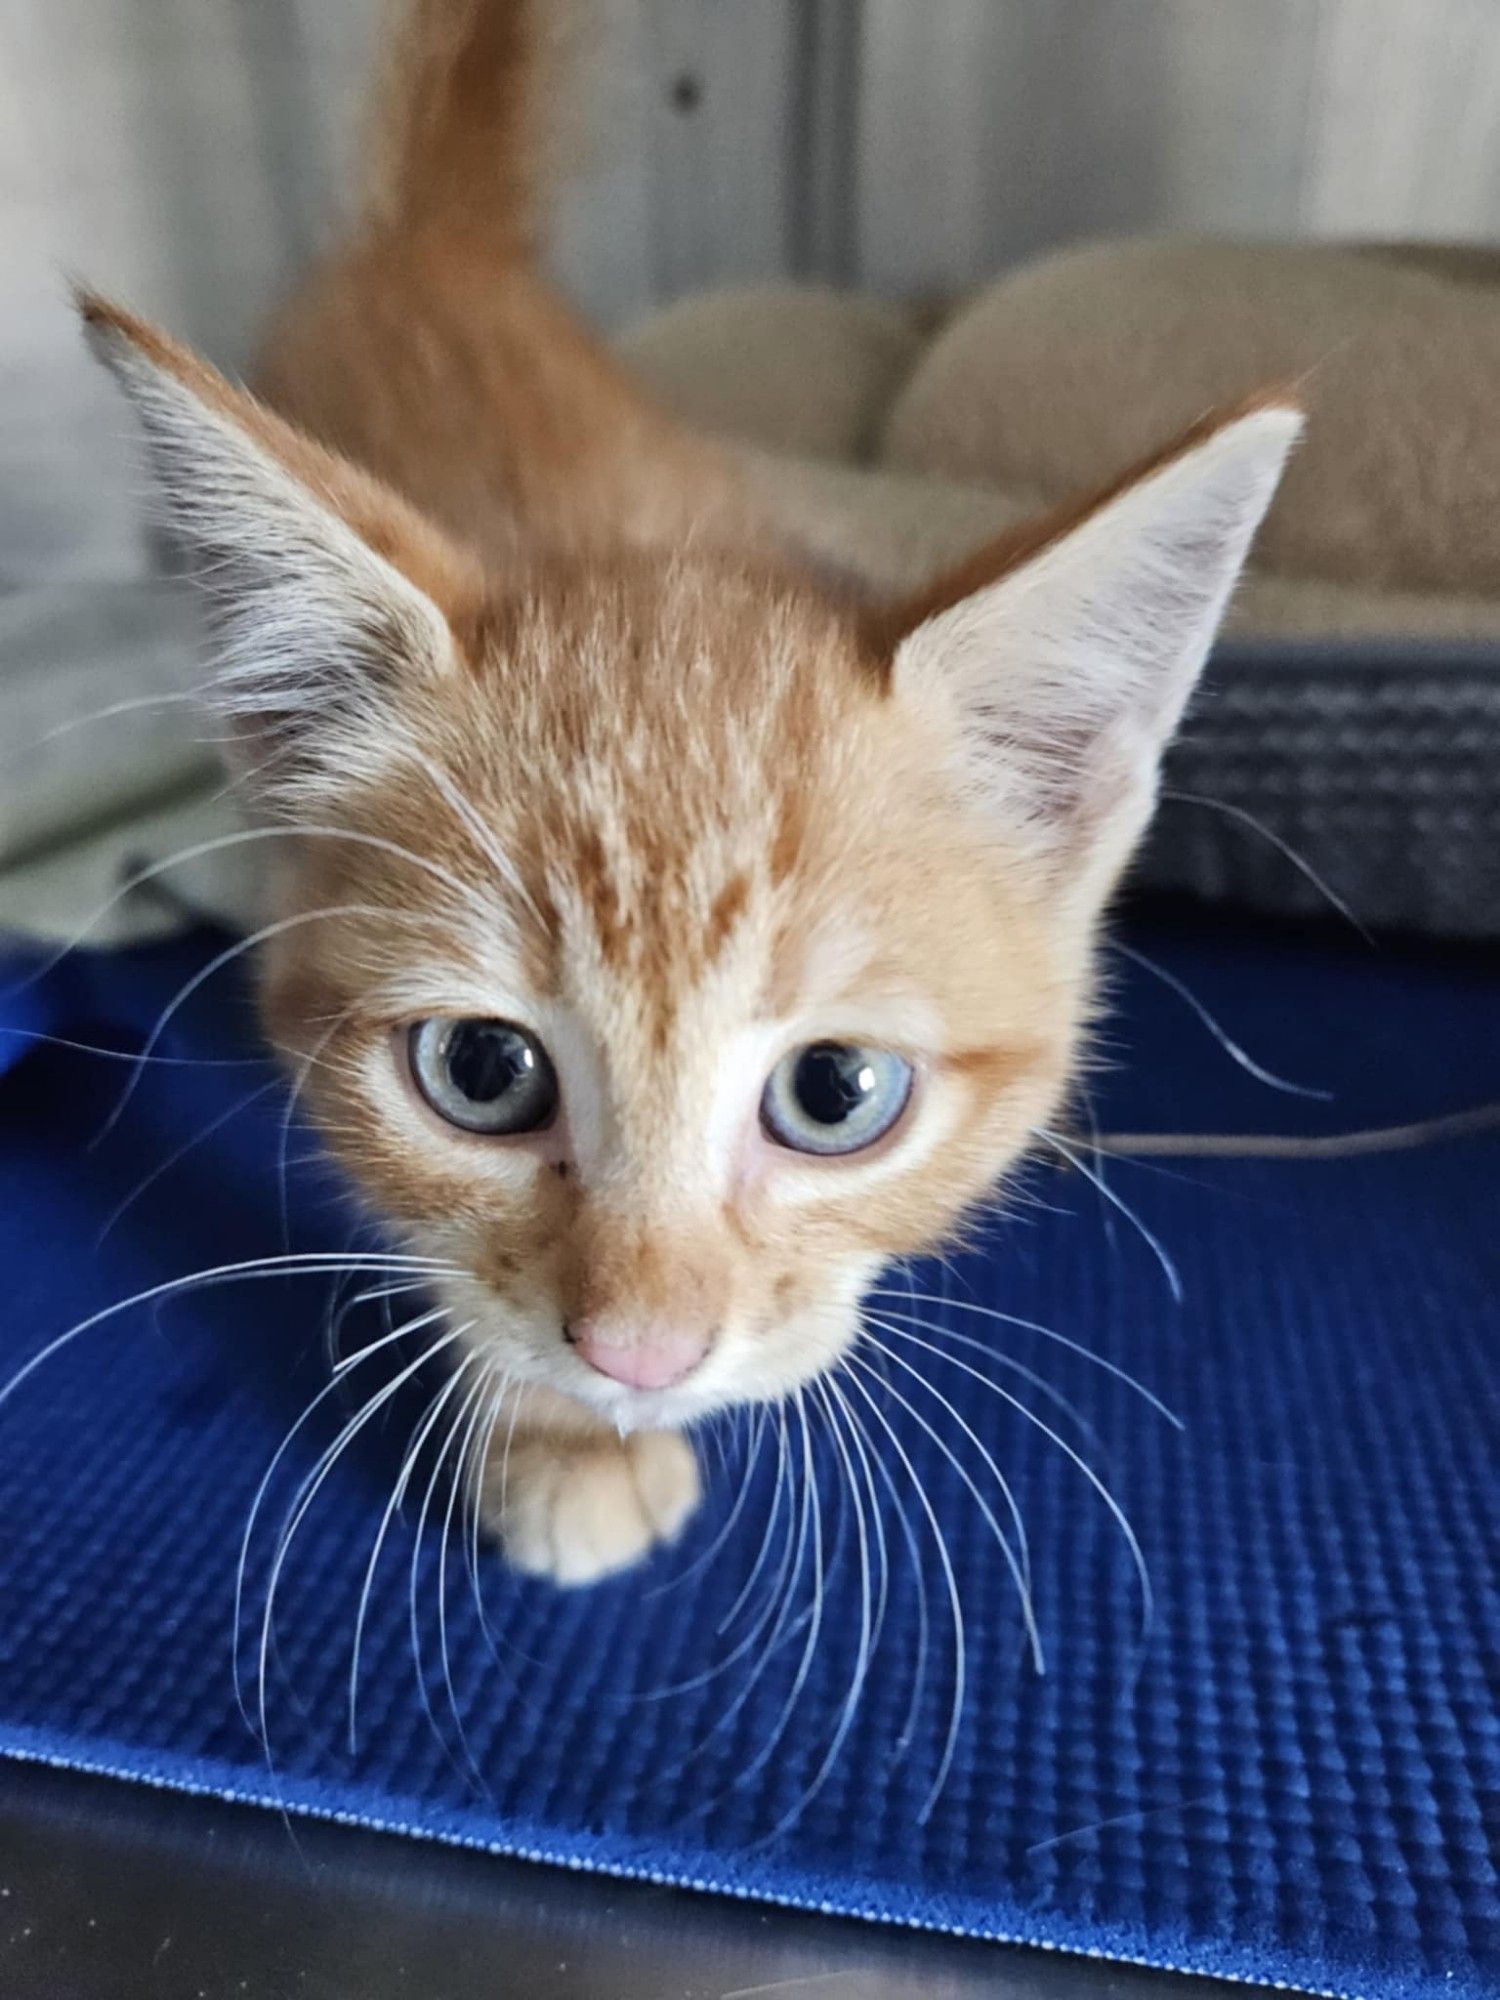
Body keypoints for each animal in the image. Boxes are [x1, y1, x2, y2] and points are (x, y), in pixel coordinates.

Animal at [82, 7, 1304, 1584]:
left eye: (837, 1094)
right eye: (482, 1071)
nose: (641, 1356)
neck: (628, 542)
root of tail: (436, 246)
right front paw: (558, 1429)